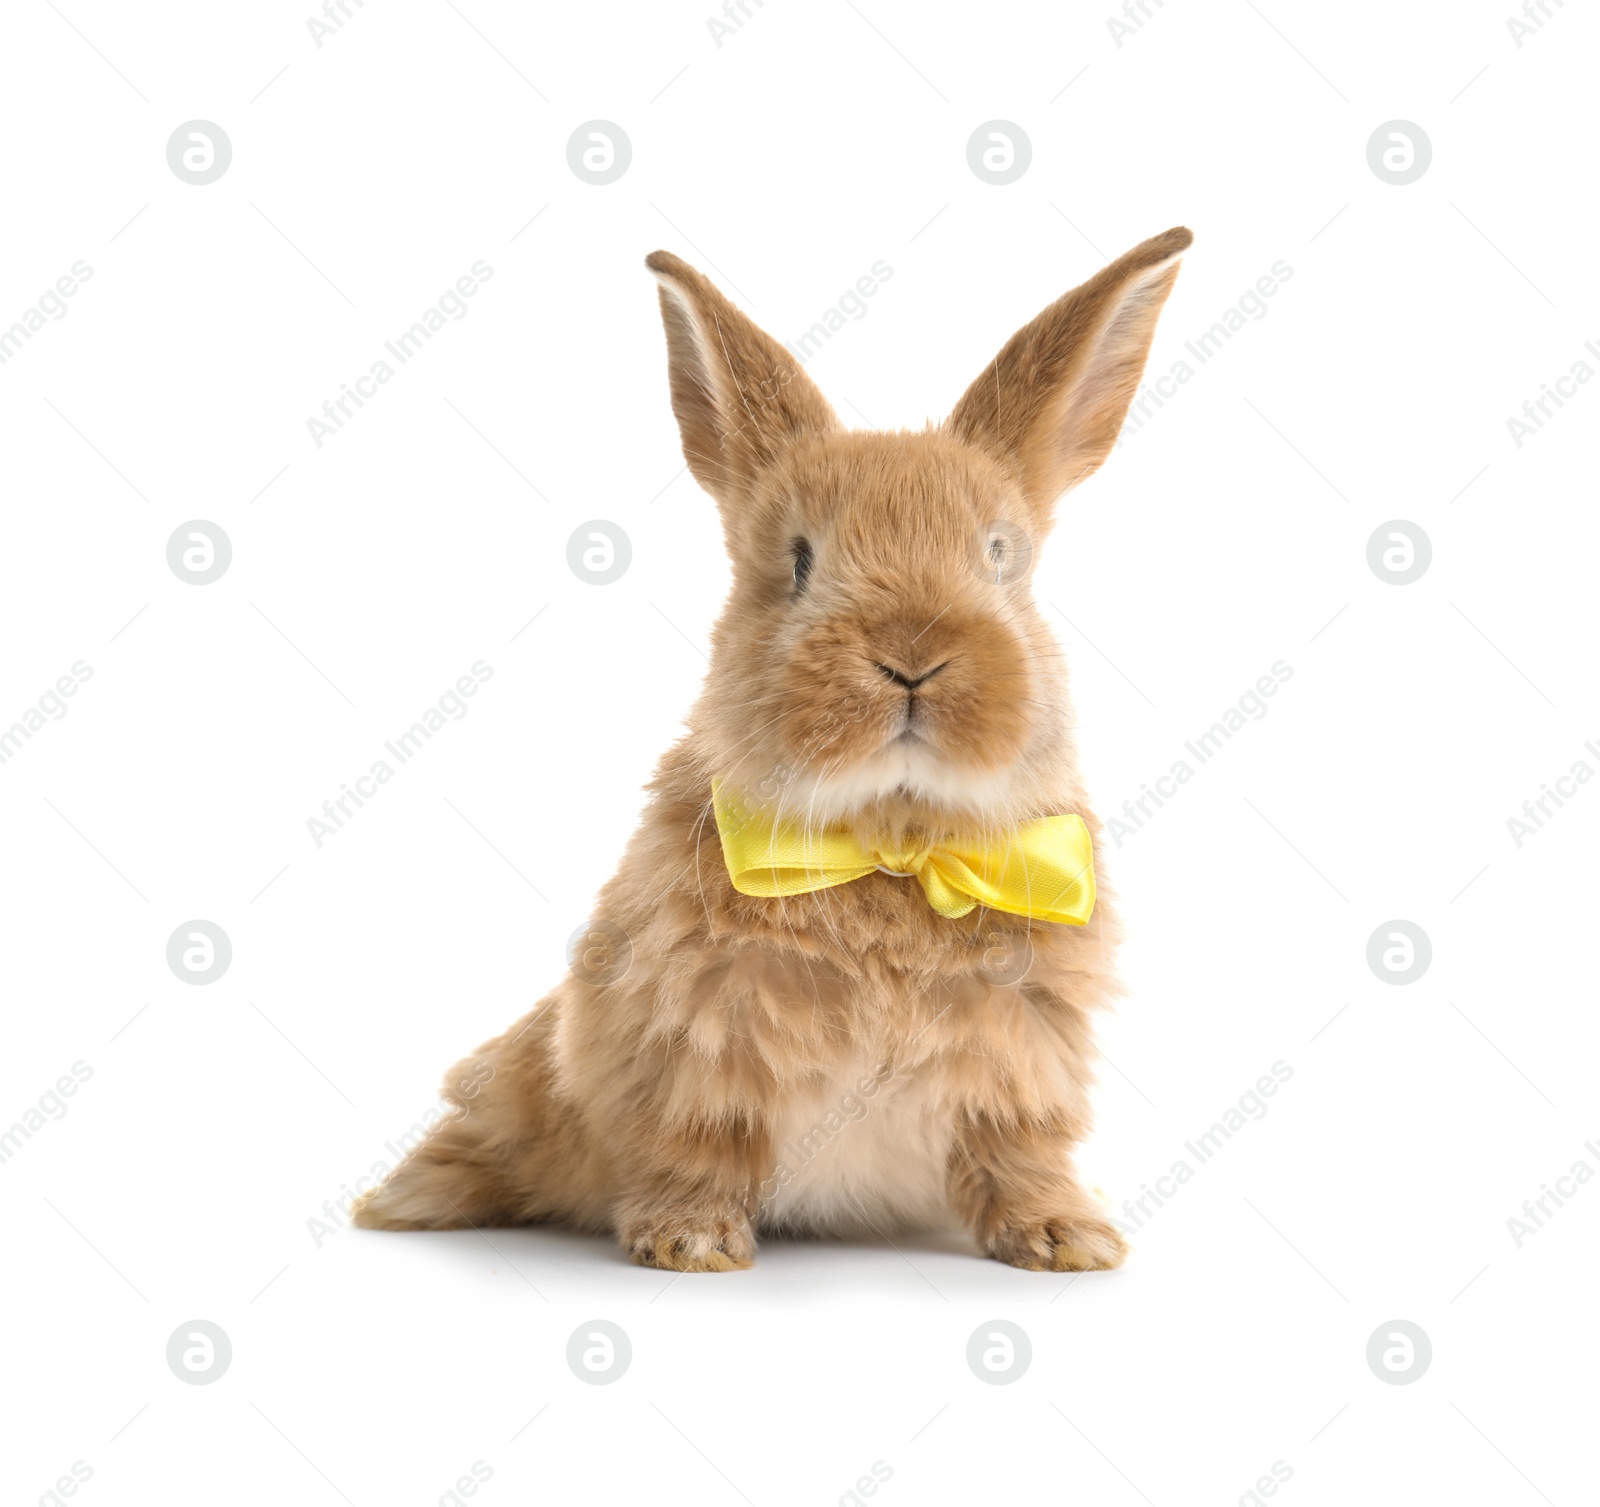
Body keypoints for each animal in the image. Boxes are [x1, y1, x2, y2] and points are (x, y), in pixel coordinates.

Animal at [356, 227, 1196, 1273]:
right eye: (798, 563)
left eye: (1000, 556)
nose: (911, 657)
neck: (893, 842)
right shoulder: (697, 1041)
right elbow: (700, 1143)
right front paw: (691, 1243)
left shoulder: (1023, 1054)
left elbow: (1017, 1150)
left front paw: (1067, 1239)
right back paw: (402, 1200)